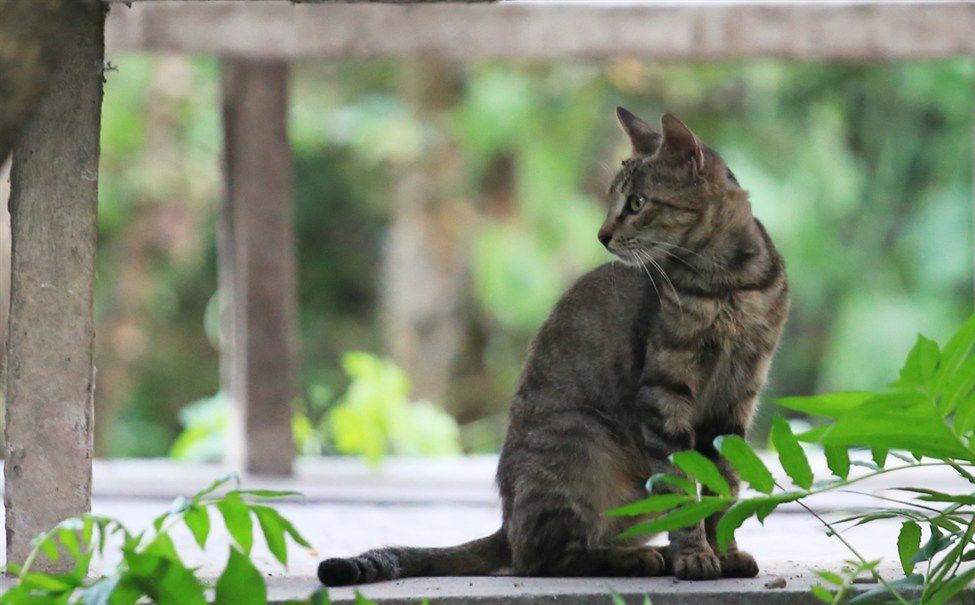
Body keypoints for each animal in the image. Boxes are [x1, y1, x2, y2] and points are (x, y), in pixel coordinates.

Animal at [320, 106, 792, 584]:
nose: (602, 234)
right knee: (543, 558)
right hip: (583, 443)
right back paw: (638, 558)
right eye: (614, 200)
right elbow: (680, 488)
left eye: (637, 203)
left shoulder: (736, 398)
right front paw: (695, 555)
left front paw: (725, 552)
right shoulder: (665, 390)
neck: (729, 284)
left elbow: (722, 486)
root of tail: (506, 524)